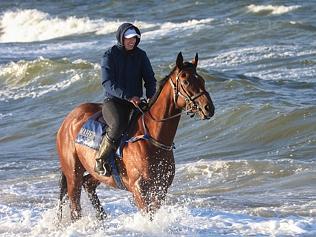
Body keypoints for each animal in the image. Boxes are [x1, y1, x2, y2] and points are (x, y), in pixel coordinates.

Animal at [56, 51, 215, 220]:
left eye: (202, 80)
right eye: (185, 81)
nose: (208, 108)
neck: (153, 138)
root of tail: (67, 121)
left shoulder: (160, 189)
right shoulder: (139, 190)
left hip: (98, 174)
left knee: (88, 184)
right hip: (73, 174)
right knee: (75, 207)